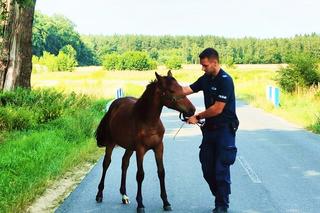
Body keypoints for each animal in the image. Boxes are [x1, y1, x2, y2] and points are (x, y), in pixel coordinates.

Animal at [95, 70, 195, 212]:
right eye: (171, 90)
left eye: (181, 88)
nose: (192, 110)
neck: (147, 121)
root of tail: (113, 106)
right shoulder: (140, 150)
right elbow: (140, 175)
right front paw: (140, 204)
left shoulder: (159, 147)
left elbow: (161, 172)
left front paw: (166, 202)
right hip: (111, 143)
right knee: (106, 163)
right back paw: (99, 194)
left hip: (129, 147)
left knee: (124, 163)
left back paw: (124, 195)